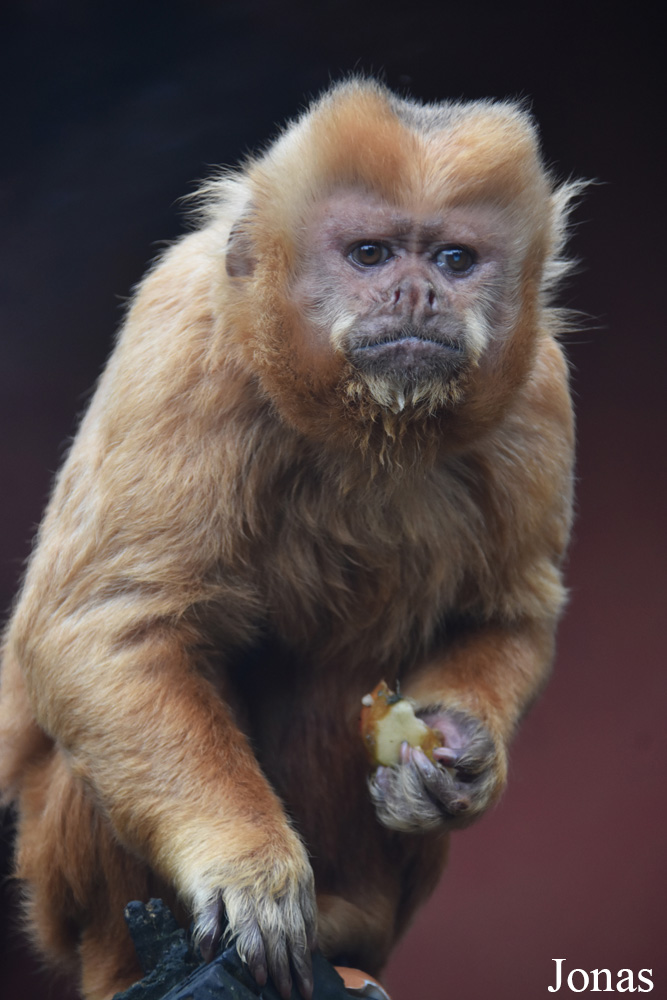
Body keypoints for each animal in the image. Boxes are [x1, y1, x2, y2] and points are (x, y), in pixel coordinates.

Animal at [0, 80, 580, 1000]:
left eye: (454, 261)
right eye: (370, 255)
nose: (417, 294)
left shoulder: (539, 390)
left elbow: (508, 613)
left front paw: (460, 759)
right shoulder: (182, 339)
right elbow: (103, 628)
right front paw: (245, 867)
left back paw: (350, 932)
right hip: (52, 894)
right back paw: (134, 966)